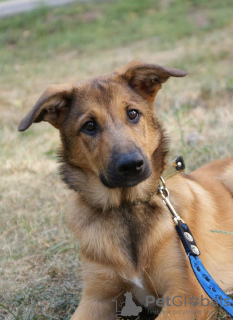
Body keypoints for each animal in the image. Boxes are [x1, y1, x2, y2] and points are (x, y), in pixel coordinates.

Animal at [18, 61, 233, 318]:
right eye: (89, 126)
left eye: (132, 114)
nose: (131, 165)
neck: (126, 207)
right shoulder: (96, 298)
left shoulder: (186, 293)